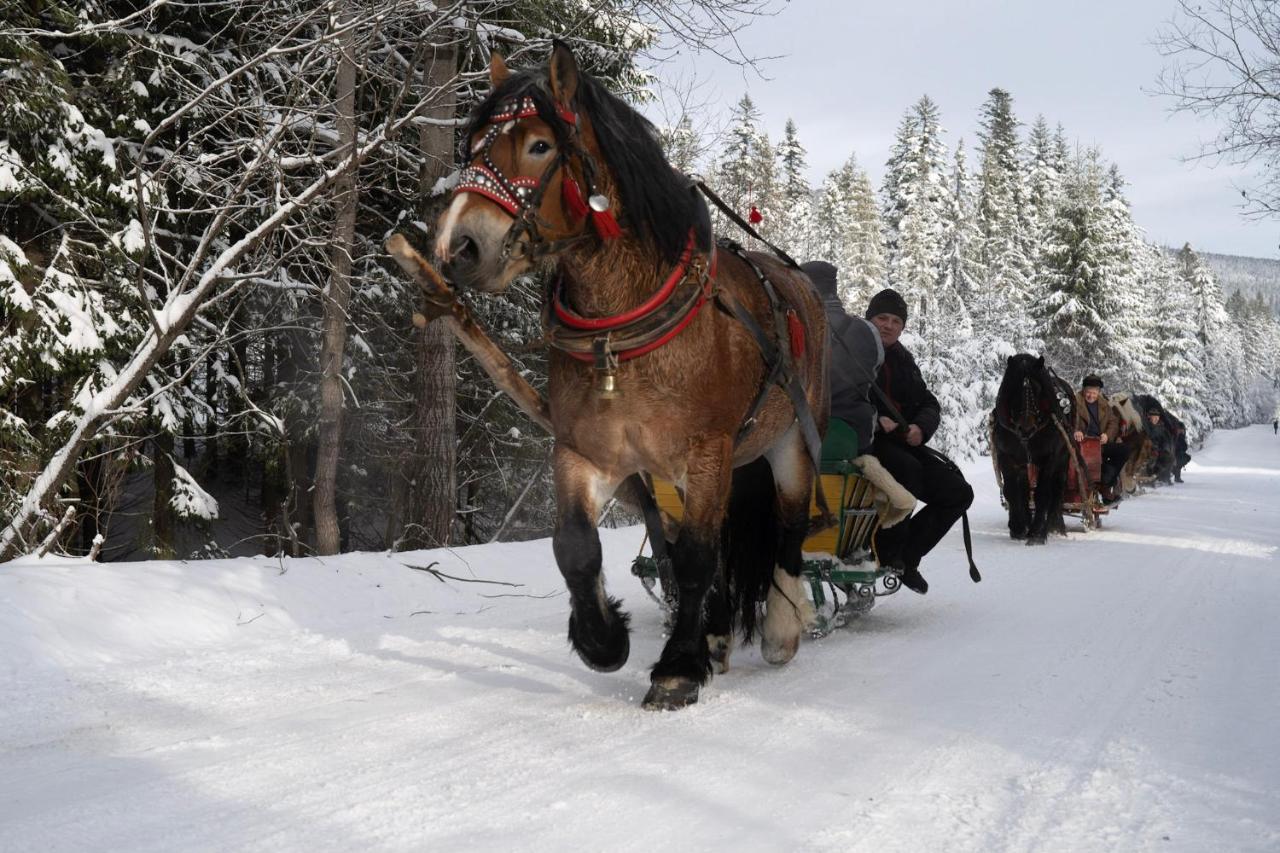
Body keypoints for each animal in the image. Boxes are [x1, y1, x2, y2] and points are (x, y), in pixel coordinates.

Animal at [435, 43, 824, 706]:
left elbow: (692, 558)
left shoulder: (708, 450)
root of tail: (801, 283)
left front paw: (677, 667)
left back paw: (780, 628)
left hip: (788, 440)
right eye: (473, 145)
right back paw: (717, 633)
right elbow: (576, 546)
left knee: (789, 530)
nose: (456, 247)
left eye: (539, 145)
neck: (620, 332)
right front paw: (603, 640)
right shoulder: (587, 450)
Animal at [993, 353, 1075, 540]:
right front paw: (1017, 527)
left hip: (1063, 457)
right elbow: (1011, 490)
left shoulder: (1049, 458)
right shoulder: (1006, 456)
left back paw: (1054, 525)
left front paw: (1037, 532)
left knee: (1057, 487)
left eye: (1038, 390)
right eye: (1014, 389)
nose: (1026, 428)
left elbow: (1043, 493)